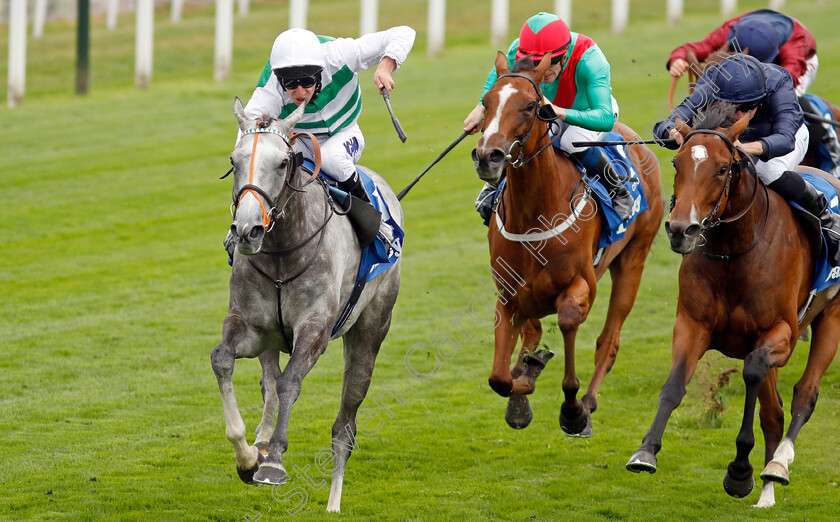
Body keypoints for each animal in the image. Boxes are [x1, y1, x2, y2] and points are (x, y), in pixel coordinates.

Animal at [213, 97, 404, 512]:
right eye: (234, 159)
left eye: (283, 162)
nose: (247, 230)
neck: (282, 254)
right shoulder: (251, 327)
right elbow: (223, 360)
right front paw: (247, 457)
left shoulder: (315, 330)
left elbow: (290, 383)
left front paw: (273, 463)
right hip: (270, 342)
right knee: (268, 380)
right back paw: (261, 440)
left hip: (369, 332)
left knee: (344, 424)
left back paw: (333, 499)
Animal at [472, 51, 664, 434]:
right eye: (486, 102)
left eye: (530, 105)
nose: (488, 156)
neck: (533, 217)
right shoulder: (510, 295)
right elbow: (500, 377)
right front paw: (523, 387)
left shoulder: (582, 284)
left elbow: (568, 319)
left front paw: (572, 409)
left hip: (633, 259)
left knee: (609, 340)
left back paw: (587, 402)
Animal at [628, 107, 840, 506]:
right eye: (677, 162)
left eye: (724, 167)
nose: (681, 230)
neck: (734, 252)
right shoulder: (692, 324)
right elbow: (674, 385)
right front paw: (646, 451)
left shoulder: (783, 334)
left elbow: (753, 372)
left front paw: (740, 471)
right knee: (774, 413)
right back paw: (767, 490)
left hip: (830, 318)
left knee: (804, 395)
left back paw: (778, 465)